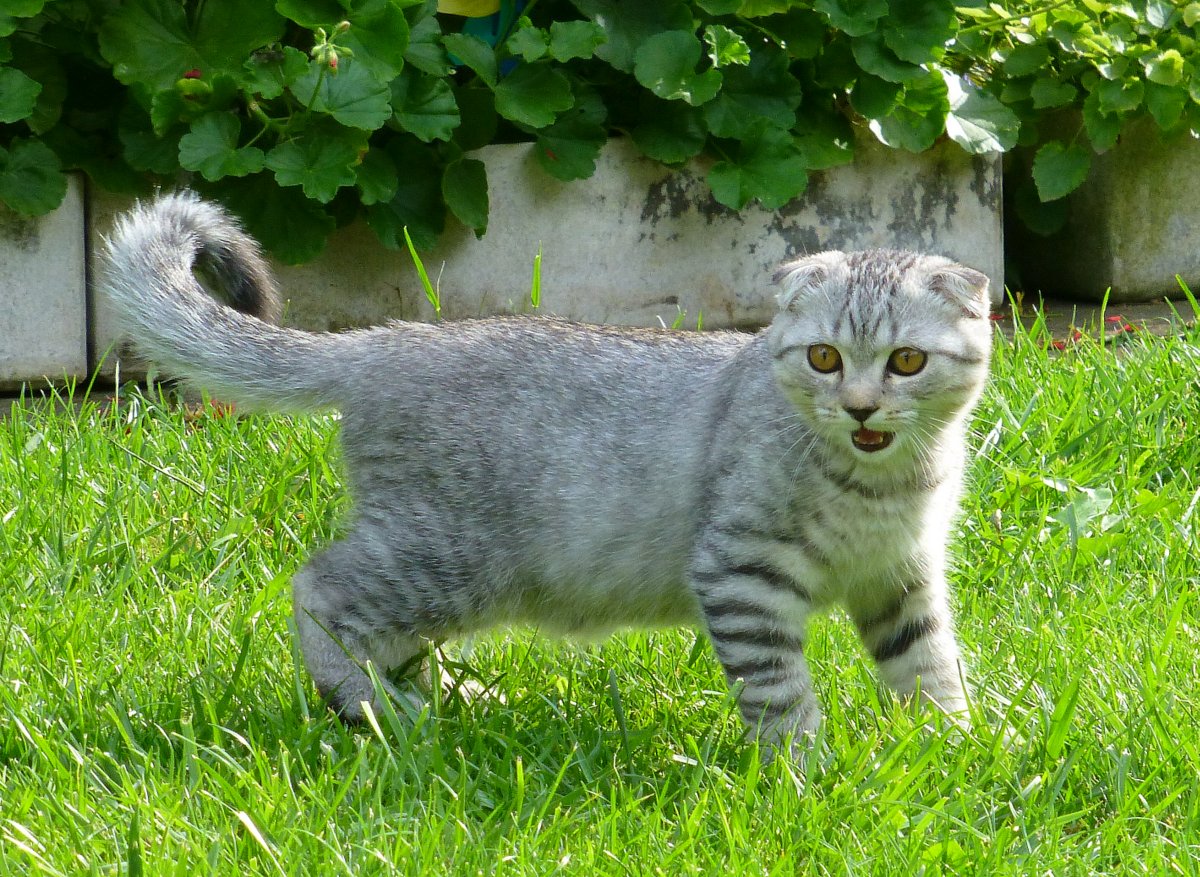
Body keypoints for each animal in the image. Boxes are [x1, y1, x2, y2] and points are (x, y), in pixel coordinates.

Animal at [103, 190, 988, 748]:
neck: (885, 487)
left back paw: (453, 699)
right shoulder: (743, 572)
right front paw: (801, 773)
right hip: (444, 557)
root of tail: (385, 339)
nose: (862, 408)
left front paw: (956, 752)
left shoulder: (901, 577)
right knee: (318, 592)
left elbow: (931, 669)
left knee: (391, 638)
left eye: (907, 361)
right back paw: (379, 711)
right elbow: (780, 691)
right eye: (825, 357)